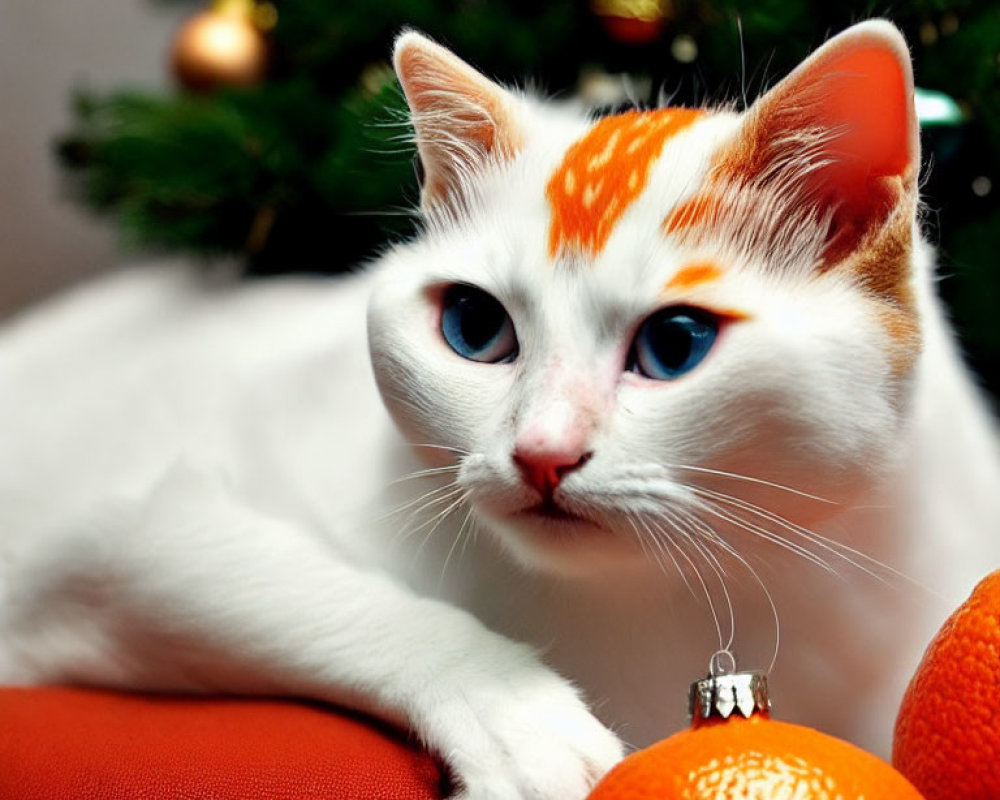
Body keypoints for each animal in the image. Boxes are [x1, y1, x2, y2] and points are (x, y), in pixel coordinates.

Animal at [1, 18, 1000, 800]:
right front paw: (523, 720)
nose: (541, 452)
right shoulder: (122, 538)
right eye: (475, 327)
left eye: (676, 344)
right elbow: (304, 589)